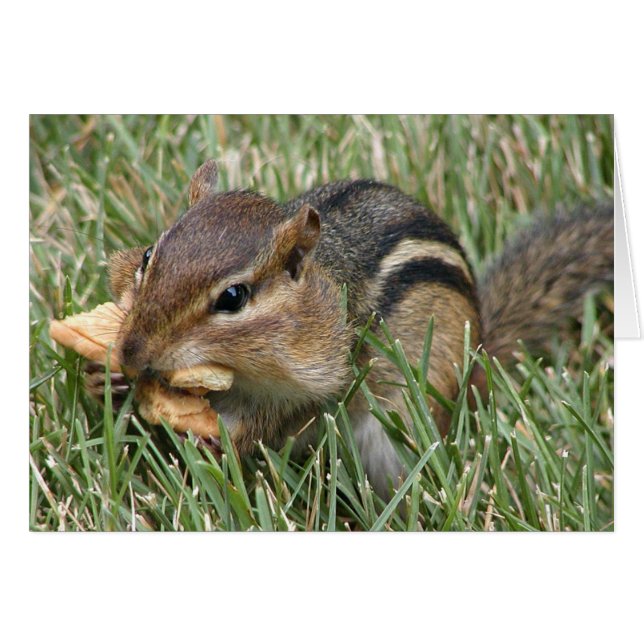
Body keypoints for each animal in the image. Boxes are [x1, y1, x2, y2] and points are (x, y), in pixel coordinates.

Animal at [103, 159, 614, 497]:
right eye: (147, 256)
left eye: (232, 297)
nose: (131, 353)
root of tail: (480, 357)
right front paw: (107, 380)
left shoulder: (331, 377)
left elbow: (278, 419)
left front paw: (216, 437)